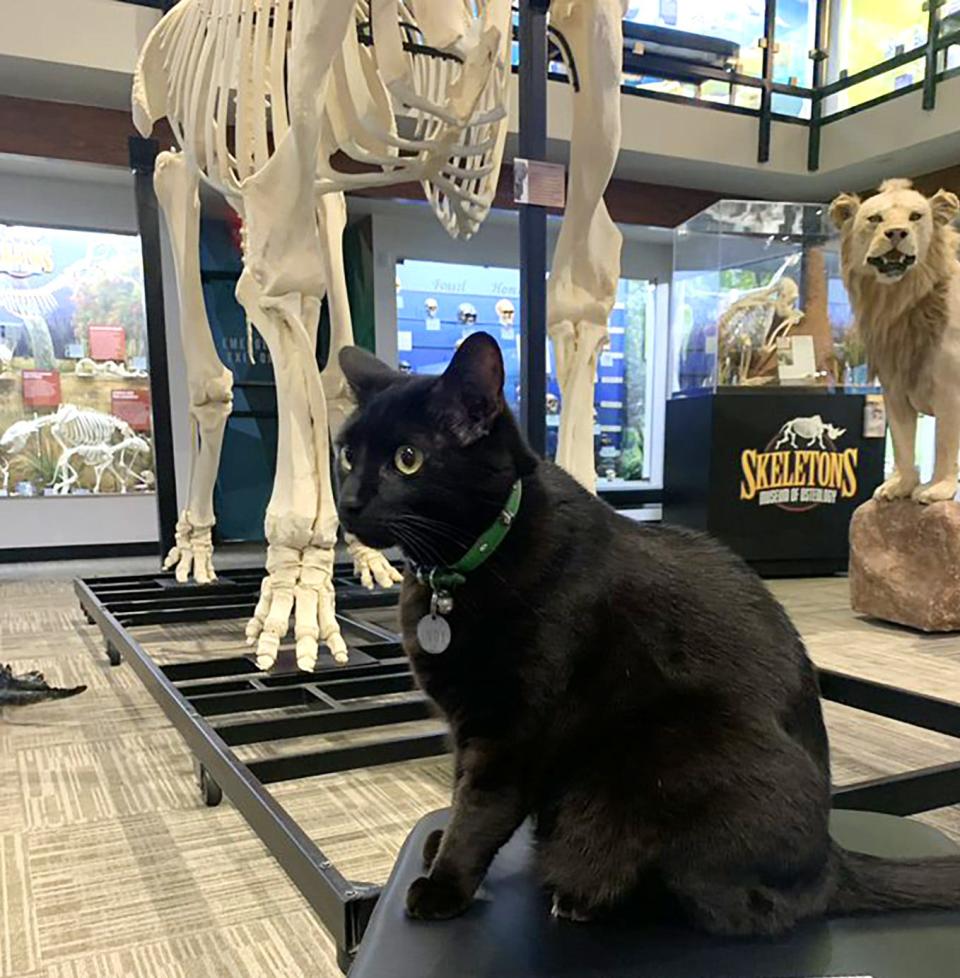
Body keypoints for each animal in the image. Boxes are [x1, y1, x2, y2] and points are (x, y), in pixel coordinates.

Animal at [336, 334, 960, 932]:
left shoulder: (510, 730)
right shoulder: (467, 724)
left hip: (668, 763)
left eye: (408, 459)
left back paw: (580, 897)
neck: (456, 571)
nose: (348, 501)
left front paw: (445, 884)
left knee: (722, 905)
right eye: (346, 453)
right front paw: (440, 847)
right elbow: (458, 787)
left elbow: (480, 808)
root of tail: (830, 863)